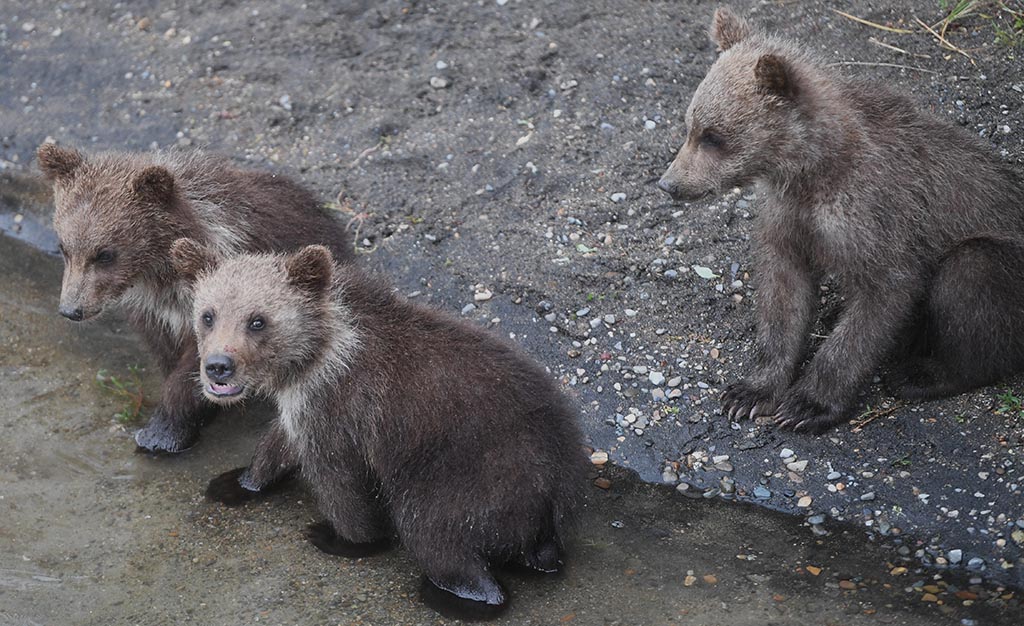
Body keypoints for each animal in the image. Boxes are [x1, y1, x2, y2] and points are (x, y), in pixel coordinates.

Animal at [37, 143, 357, 454]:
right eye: (64, 247)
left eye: (105, 254)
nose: (72, 309)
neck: (162, 276)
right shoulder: (155, 315)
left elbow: (196, 364)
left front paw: (161, 432)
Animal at [171, 238, 586, 619]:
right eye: (208, 315)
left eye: (258, 320)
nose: (218, 366)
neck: (315, 354)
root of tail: (557, 485)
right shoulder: (305, 405)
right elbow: (278, 442)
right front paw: (235, 483)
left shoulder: (341, 408)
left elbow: (339, 482)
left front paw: (342, 537)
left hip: (478, 473)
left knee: (434, 534)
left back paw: (458, 593)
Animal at [658, 7, 1024, 433]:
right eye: (690, 127)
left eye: (713, 136)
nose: (670, 184)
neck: (813, 169)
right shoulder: (789, 216)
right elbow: (782, 295)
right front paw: (749, 392)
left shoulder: (876, 215)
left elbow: (881, 298)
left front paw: (807, 404)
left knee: (970, 275)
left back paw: (918, 375)